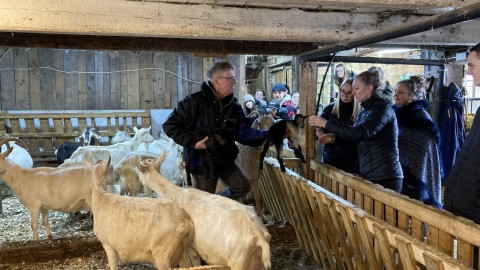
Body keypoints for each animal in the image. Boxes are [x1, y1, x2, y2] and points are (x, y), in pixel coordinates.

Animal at [133, 152, 272, 270]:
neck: (176, 195)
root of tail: (258, 236)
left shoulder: (189, 246)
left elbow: (192, 263)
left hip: (238, 261)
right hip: (256, 262)